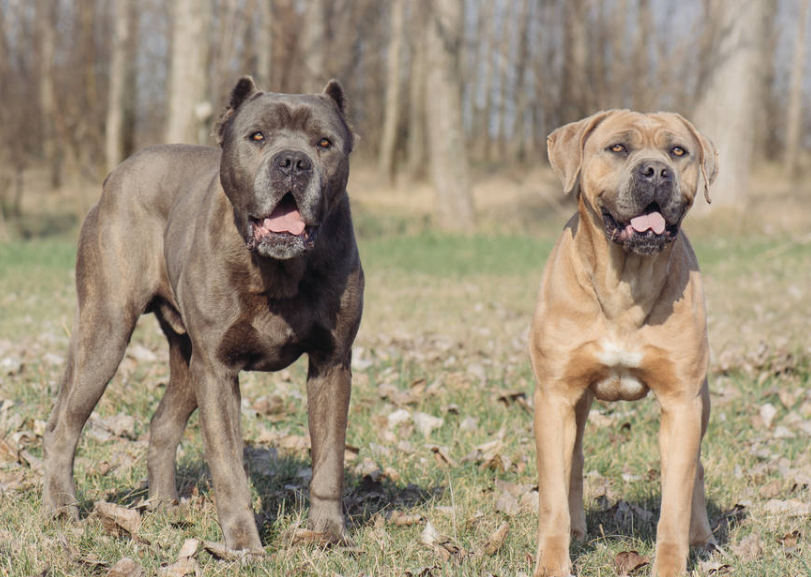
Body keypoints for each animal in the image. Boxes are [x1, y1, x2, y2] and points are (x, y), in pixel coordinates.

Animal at [41, 76, 364, 548]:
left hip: (185, 357)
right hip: (107, 332)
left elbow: (329, 460)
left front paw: (328, 535)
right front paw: (244, 544)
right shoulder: (216, 369)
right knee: (64, 424)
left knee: (161, 424)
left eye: (324, 143)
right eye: (257, 137)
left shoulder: (331, 363)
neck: (277, 270)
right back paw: (63, 509)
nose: (292, 162)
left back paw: (162, 506)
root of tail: (116, 174)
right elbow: (228, 465)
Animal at [528, 109, 720, 576]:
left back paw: (703, 538)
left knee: (696, 470)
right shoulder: (554, 397)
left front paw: (670, 566)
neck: (625, 283)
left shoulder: (682, 404)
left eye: (678, 151)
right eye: (618, 148)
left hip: (701, 402)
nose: (656, 171)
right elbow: (553, 498)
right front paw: (553, 564)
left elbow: (674, 504)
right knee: (573, 463)